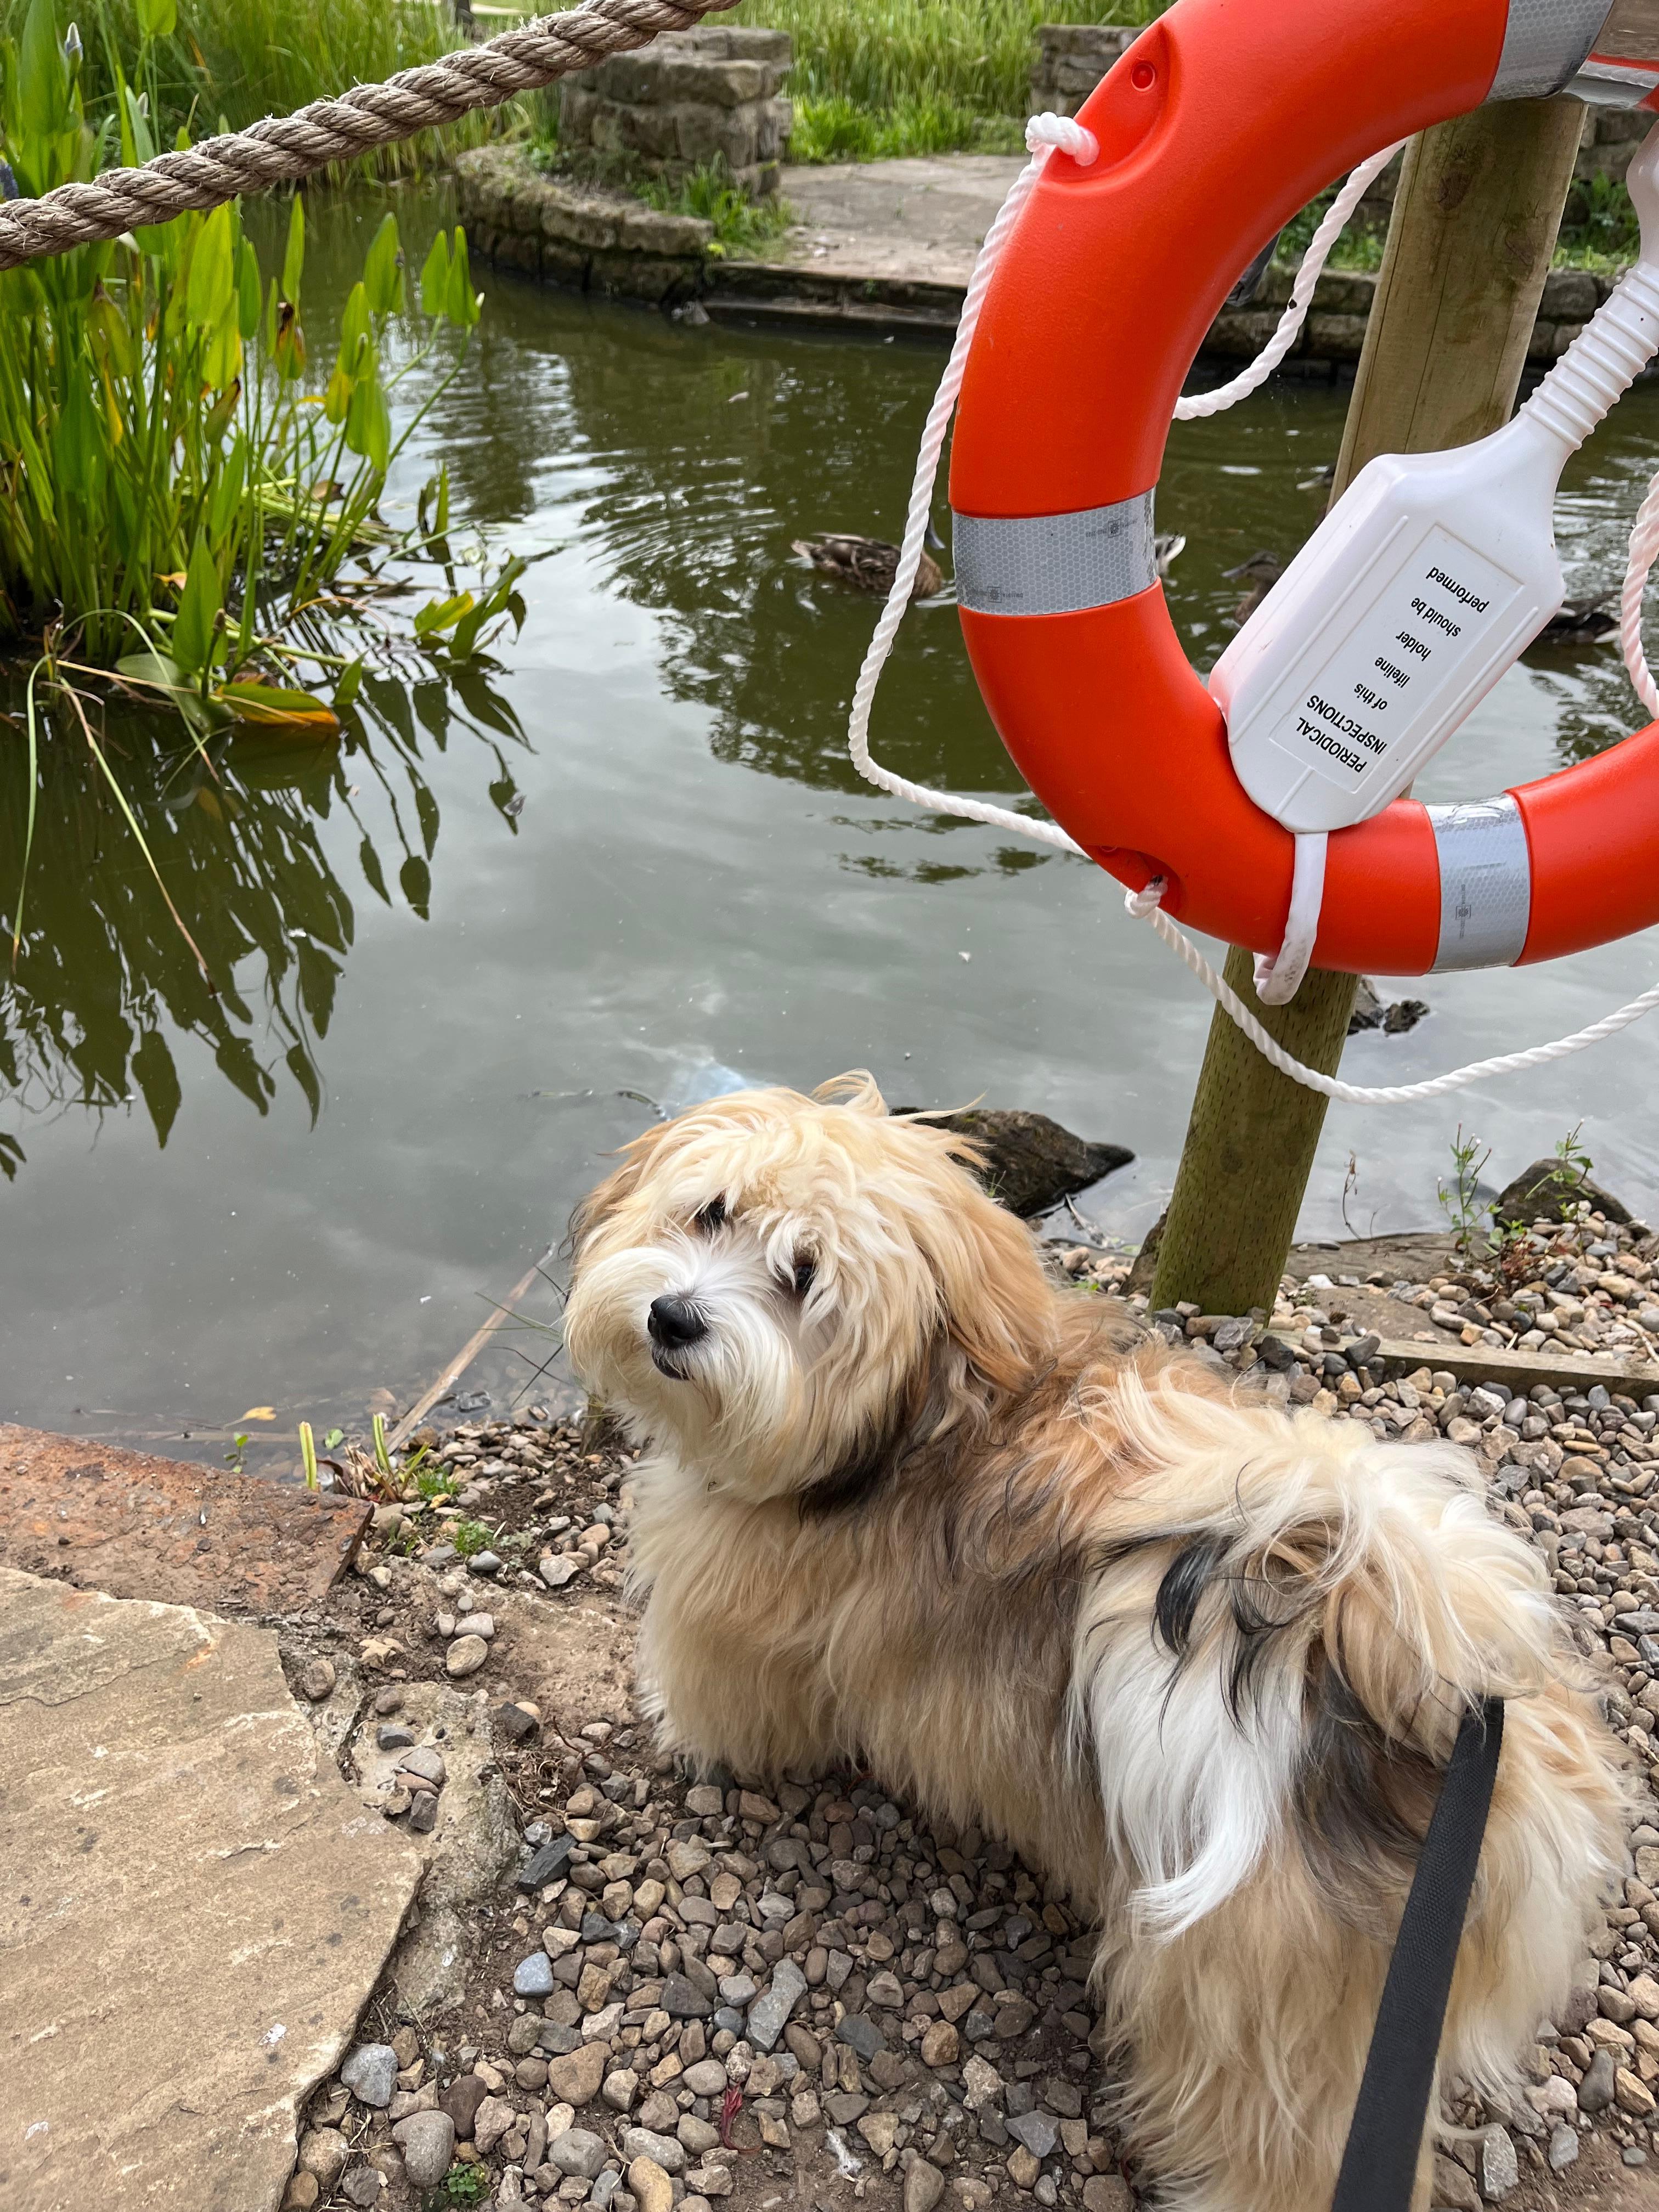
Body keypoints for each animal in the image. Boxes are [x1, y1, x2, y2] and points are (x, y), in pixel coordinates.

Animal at [566, 1075, 1628, 2212]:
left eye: (800, 1276)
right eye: (710, 1212)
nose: (672, 1316)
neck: (927, 1417)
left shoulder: (738, 1614)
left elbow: (731, 1696)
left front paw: (684, 1729)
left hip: (1256, 1997)